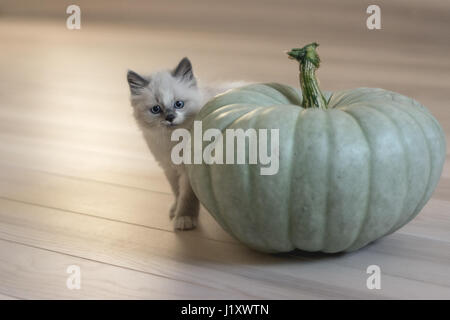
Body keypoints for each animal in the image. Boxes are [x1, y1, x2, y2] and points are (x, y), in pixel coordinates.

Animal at [126, 57, 244, 230]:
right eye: (156, 109)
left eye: (179, 104)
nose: (170, 118)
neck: (173, 141)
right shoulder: (169, 168)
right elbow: (177, 191)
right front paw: (175, 210)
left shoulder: (189, 172)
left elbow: (187, 197)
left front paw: (184, 219)